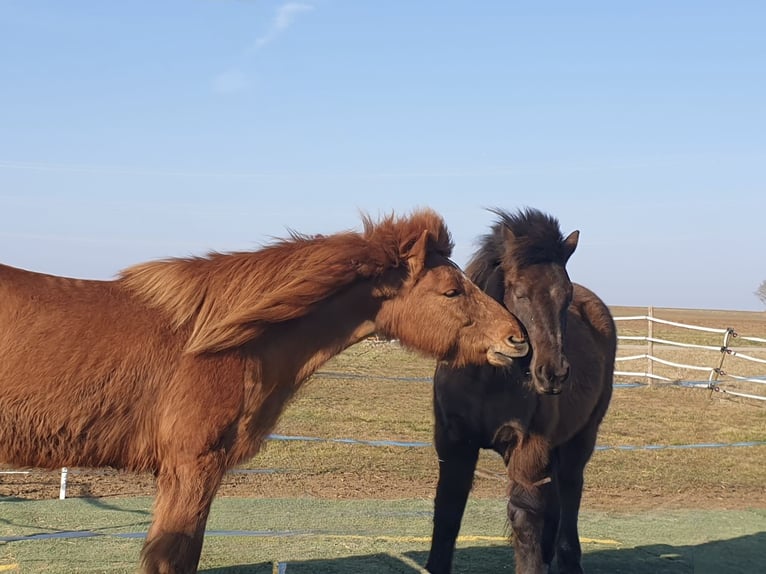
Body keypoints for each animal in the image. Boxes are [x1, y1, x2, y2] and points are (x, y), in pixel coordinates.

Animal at [425, 208, 617, 574]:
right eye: (519, 292)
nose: (553, 373)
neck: (487, 380)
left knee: (570, 490)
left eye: (566, 295)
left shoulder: (529, 448)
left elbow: (524, 517)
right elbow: (447, 511)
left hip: (582, 437)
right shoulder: (454, 444)